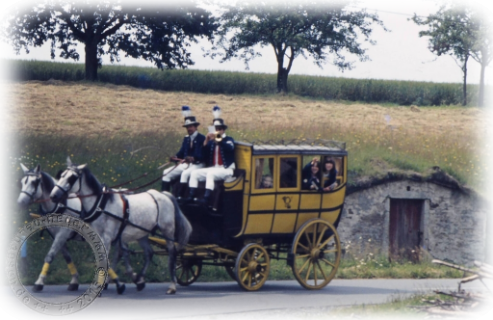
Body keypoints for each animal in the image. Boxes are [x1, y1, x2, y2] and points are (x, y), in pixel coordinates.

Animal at [50, 158, 192, 296]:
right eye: (61, 175)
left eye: (72, 178)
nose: (53, 195)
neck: (102, 205)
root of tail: (165, 195)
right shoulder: (98, 235)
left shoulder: (107, 237)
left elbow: (104, 260)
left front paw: (102, 285)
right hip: (141, 234)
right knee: (149, 253)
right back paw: (140, 280)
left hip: (167, 231)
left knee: (172, 254)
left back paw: (172, 286)